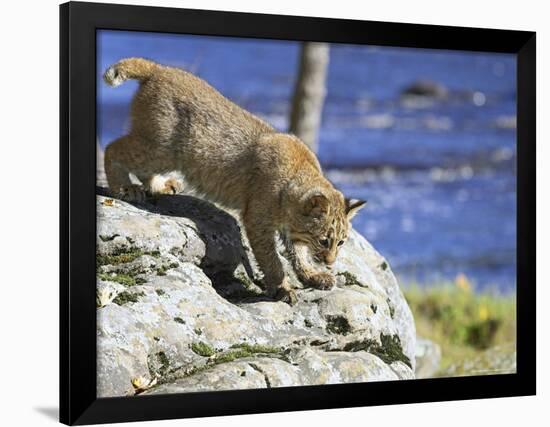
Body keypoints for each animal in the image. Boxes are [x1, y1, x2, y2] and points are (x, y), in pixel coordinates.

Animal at [103, 57, 366, 304]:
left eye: (341, 243)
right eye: (324, 241)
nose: (330, 262)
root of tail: (160, 68)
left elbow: (298, 252)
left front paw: (311, 275)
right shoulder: (256, 221)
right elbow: (271, 259)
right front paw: (283, 288)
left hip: (164, 152)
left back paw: (158, 186)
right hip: (163, 149)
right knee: (112, 148)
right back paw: (124, 188)